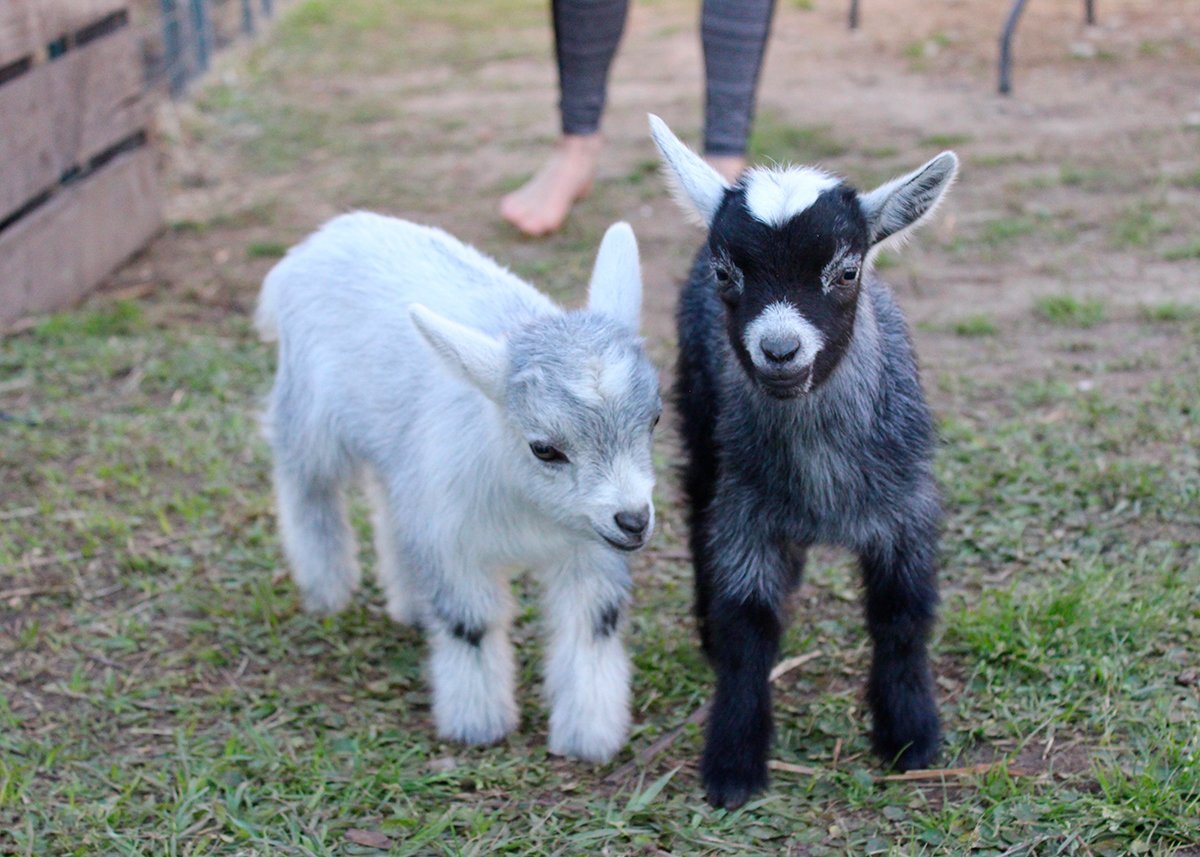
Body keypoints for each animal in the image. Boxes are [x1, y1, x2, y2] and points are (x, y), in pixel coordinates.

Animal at [255, 212, 661, 763]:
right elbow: (470, 626)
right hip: (307, 410)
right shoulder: (455, 545)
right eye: (544, 448)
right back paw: (327, 589)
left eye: (655, 420)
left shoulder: (590, 547)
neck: (529, 508)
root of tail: (324, 236)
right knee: (307, 488)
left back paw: (408, 603)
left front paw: (588, 737)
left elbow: (591, 626)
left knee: (390, 506)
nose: (635, 521)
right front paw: (478, 725)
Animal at [649, 115, 958, 808]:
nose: (780, 351)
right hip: (701, 424)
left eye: (846, 272)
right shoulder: (745, 516)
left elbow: (901, 617)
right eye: (725, 274)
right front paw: (733, 764)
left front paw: (911, 735)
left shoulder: (906, 510)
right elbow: (747, 629)